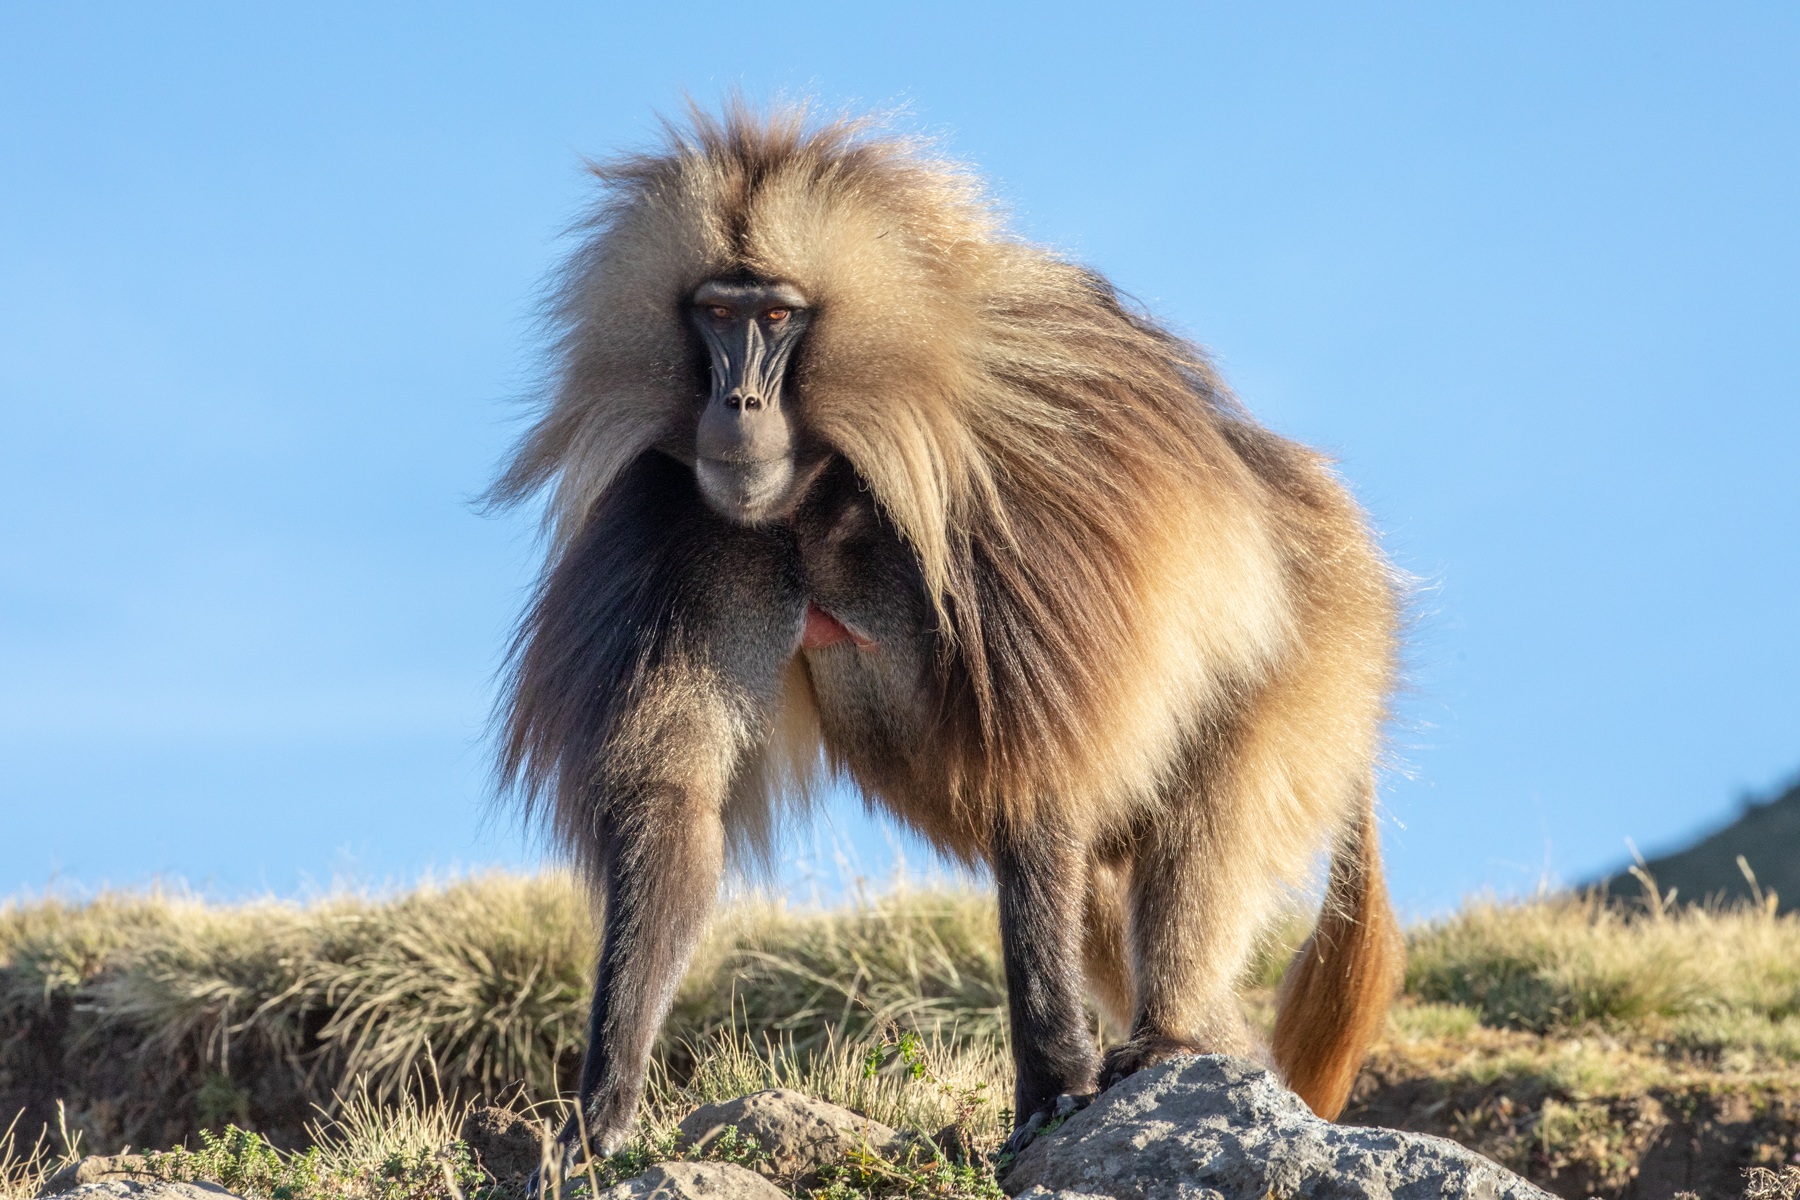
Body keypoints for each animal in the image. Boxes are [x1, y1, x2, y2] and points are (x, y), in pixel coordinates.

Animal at [490, 104, 1405, 1178]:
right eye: (714, 312)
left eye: (776, 319)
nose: (737, 407)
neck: (826, 483)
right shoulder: (687, 527)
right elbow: (676, 804)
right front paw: (601, 1113)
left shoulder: (1013, 511)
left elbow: (1034, 784)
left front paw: (1053, 1090)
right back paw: (1215, 1047)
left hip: (1317, 661)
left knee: (1200, 828)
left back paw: (1170, 1040)